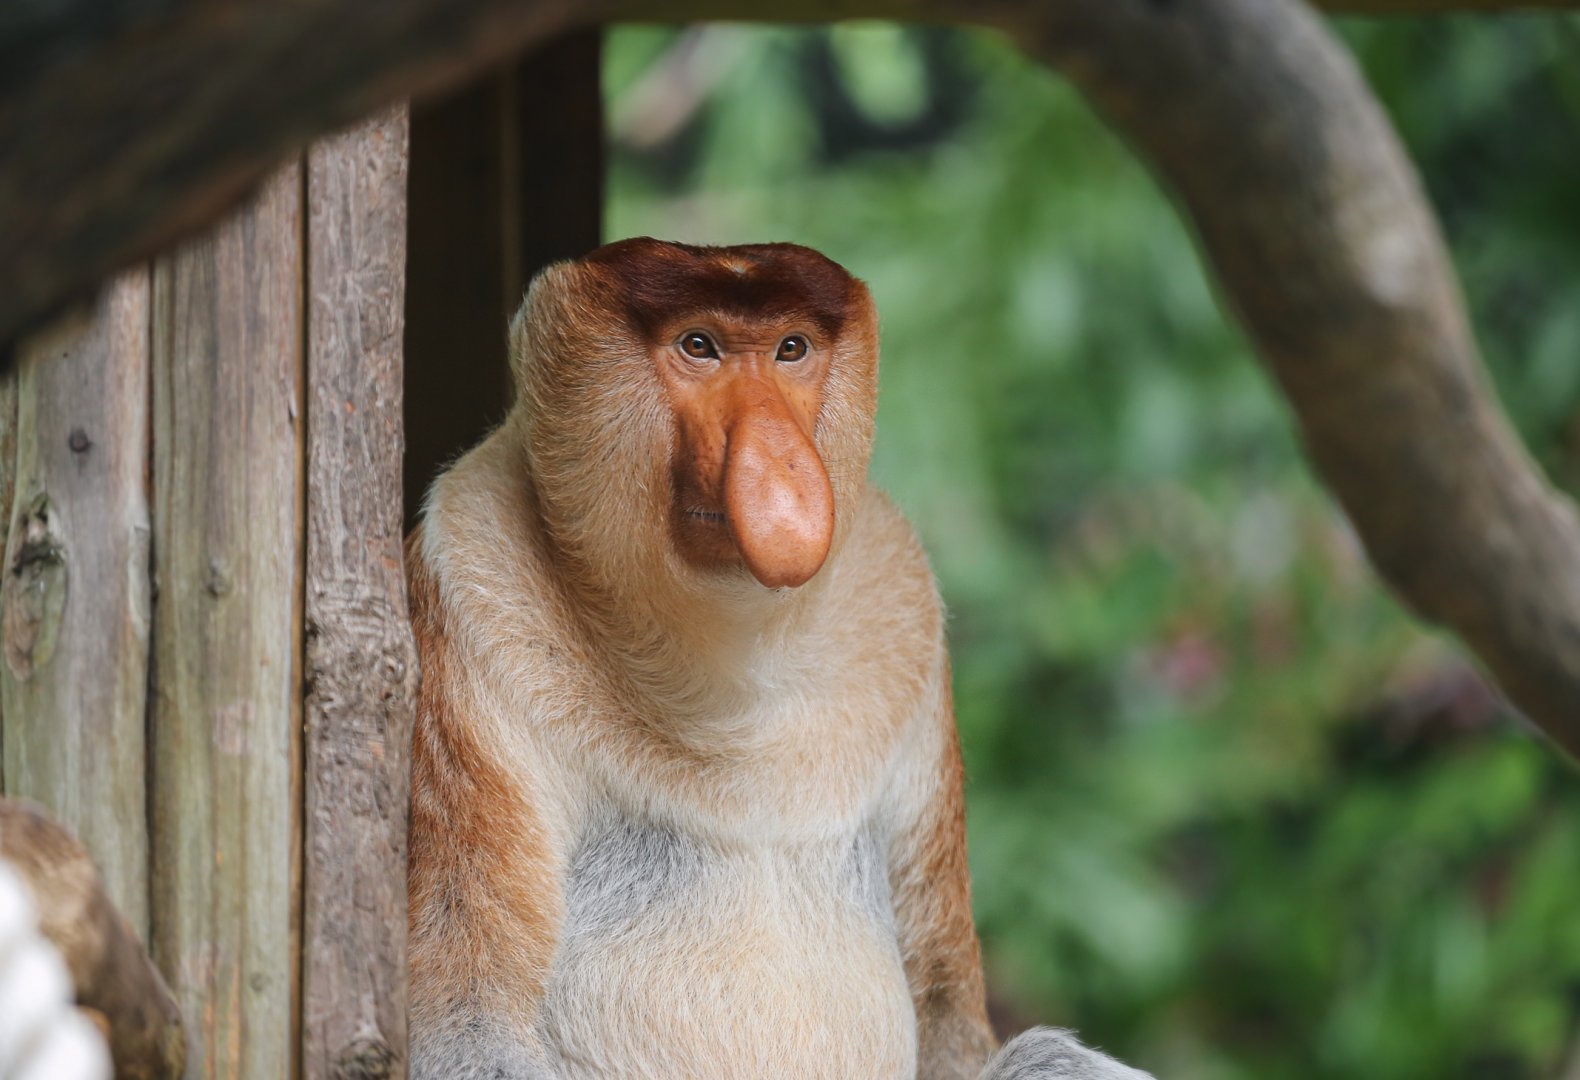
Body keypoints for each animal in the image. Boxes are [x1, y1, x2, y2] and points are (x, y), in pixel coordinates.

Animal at [406, 237, 1155, 1080]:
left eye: (791, 349)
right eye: (700, 345)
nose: (783, 476)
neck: (725, 661)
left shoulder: (899, 594)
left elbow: (949, 1025)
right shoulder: (469, 577)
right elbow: (465, 1025)